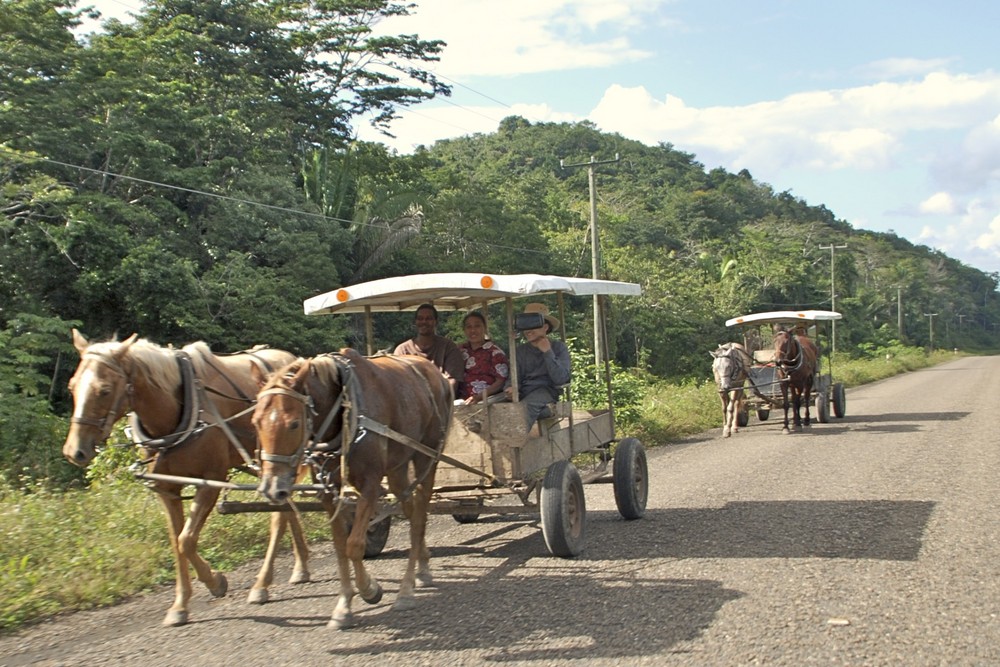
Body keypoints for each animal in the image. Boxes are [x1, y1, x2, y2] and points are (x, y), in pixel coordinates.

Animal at [64, 332, 306, 628]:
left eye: (104, 390)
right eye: (72, 386)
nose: (74, 451)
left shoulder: (211, 481)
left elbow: (186, 540)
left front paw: (215, 582)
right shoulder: (166, 488)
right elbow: (176, 542)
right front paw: (180, 605)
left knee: (279, 518)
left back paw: (262, 584)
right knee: (287, 509)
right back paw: (301, 567)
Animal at [250, 350, 454, 632]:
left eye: (293, 424)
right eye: (255, 421)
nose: (272, 488)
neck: (344, 411)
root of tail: (437, 373)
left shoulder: (370, 484)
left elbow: (354, 544)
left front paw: (369, 589)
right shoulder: (328, 490)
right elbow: (340, 547)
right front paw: (344, 606)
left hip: (427, 457)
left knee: (419, 518)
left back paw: (406, 590)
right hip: (398, 467)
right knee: (411, 510)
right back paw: (422, 568)